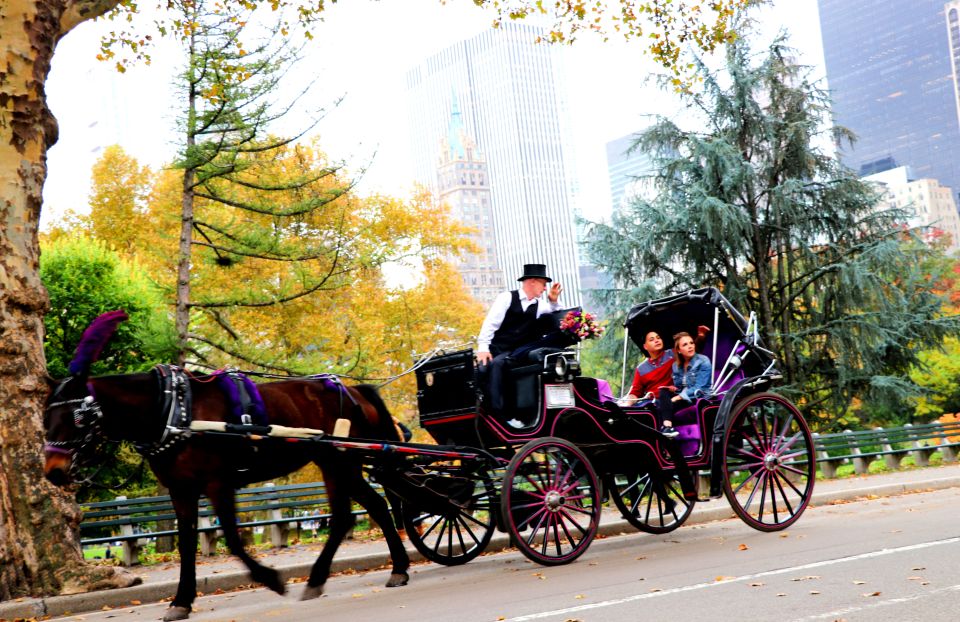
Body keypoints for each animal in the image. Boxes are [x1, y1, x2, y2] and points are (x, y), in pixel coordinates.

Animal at [42, 314, 408, 620]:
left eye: (77, 417)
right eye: (46, 418)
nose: (53, 471)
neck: (173, 408)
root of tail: (352, 390)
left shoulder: (218, 482)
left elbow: (232, 537)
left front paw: (270, 579)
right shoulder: (181, 489)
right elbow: (187, 542)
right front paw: (181, 601)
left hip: (338, 461)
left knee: (353, 513)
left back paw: (339, 575)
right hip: (337, 463)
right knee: (369, 508)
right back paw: (390, 568)